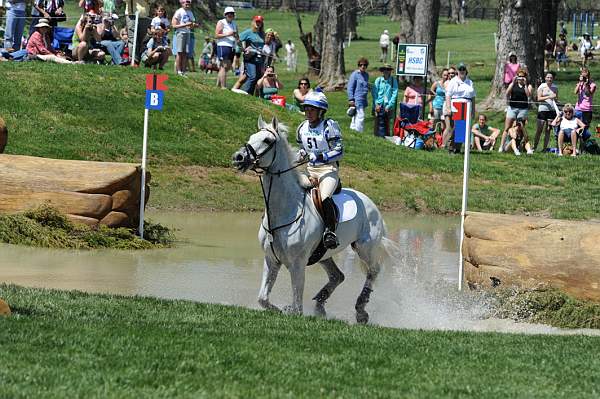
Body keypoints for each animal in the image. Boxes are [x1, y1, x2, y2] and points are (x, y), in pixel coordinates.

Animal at [232, 116, 386, 324]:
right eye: (251, 137)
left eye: (267, 140)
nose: (238, 157)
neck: (285, 209)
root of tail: (369, 201)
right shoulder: (271, 259)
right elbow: (262, 298)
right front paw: (279, 310)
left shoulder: (297, 264)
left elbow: (297, 307)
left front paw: (289, 310)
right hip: (323, 254)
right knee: (338, 276)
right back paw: (321, 302)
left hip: (365, 248)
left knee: (373, 271)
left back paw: (361, 310)